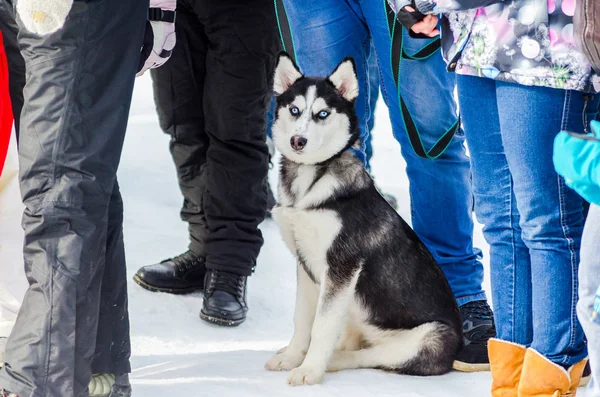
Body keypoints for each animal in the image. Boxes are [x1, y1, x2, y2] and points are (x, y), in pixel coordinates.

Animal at [264, 54, 462, 386]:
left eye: (322, 114)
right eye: (294, 110)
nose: (297, 141)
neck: (309, 185)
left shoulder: (342, 266)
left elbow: (321, 327)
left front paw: (308, 369)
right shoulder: (305, 264)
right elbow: (302, 321)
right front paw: (292, 357)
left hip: (430, 336)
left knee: (368, 356)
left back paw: (332, 360)